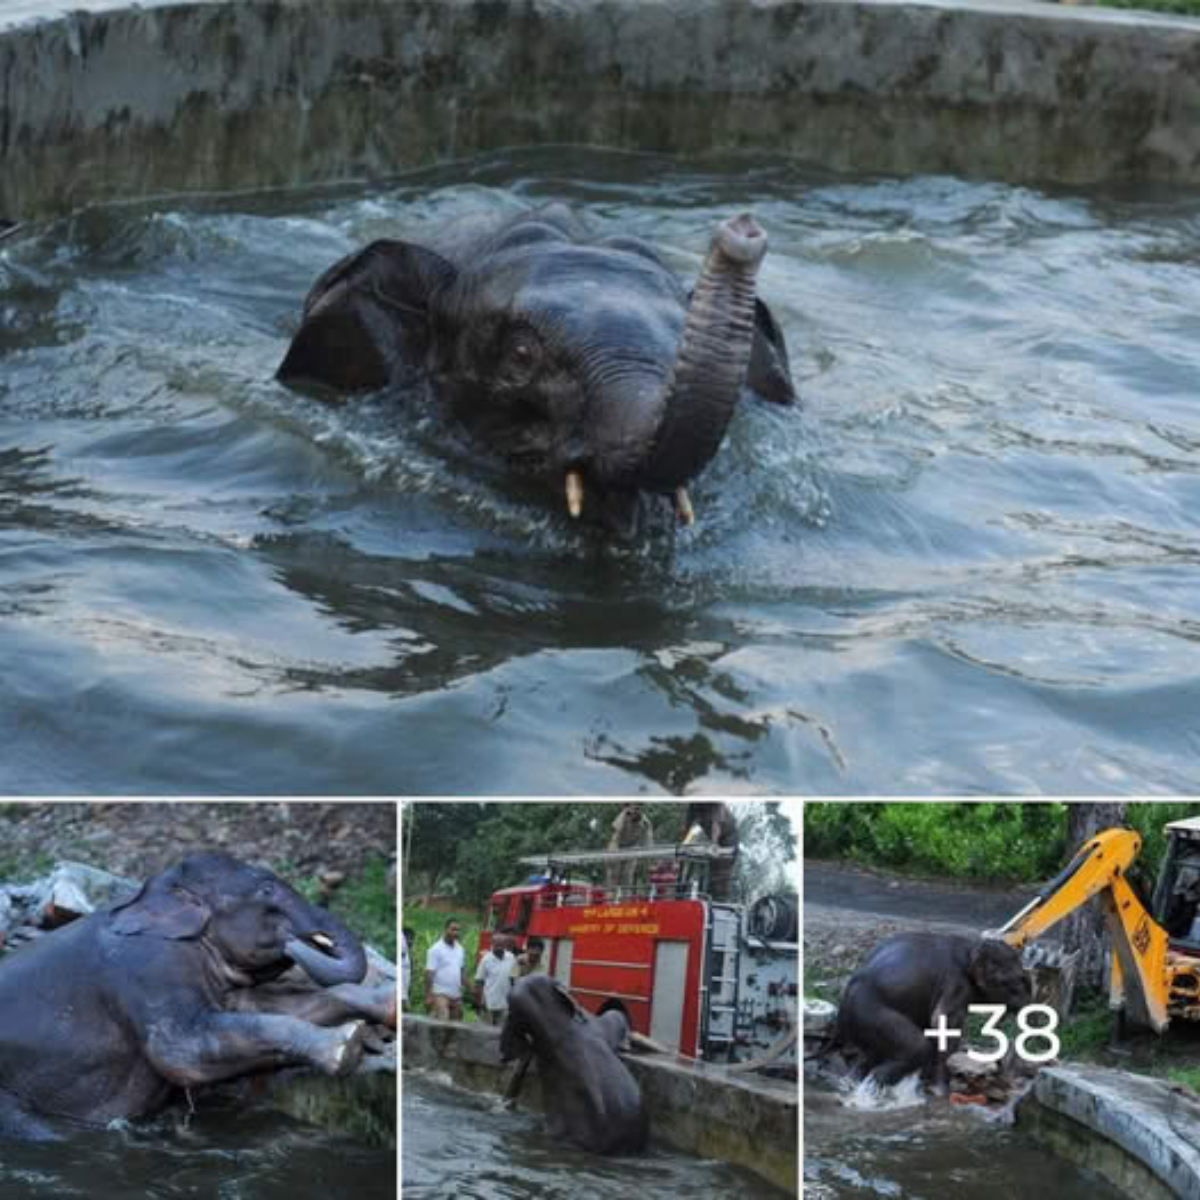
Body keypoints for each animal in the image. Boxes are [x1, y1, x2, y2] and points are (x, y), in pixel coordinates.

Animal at [0, 852, 393, 1141]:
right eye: (267, 890)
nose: (301, 940)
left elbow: (266, 1007)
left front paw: (387, 1004)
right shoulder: (145, 970)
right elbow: (182, 1051)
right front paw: (347, 1045)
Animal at [831, 932, 1030, 1092]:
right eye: (1011, 983)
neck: (972, 946)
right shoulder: (957, 984)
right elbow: (943, 1022)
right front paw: (941, 1090)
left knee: (871, 1054)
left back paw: (853, 1082)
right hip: (869, 1011)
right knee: (917, 1047)